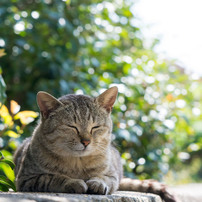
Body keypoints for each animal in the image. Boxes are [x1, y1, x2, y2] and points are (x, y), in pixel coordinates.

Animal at [13, 87, 175, 202]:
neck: (77, 163)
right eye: (72, 127)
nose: (86, 141)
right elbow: (53, 178)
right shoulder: (27, 178)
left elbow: (104, 178)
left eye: (95, 127)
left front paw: (97, 183)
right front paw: (73, 182)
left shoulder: (112, 175)